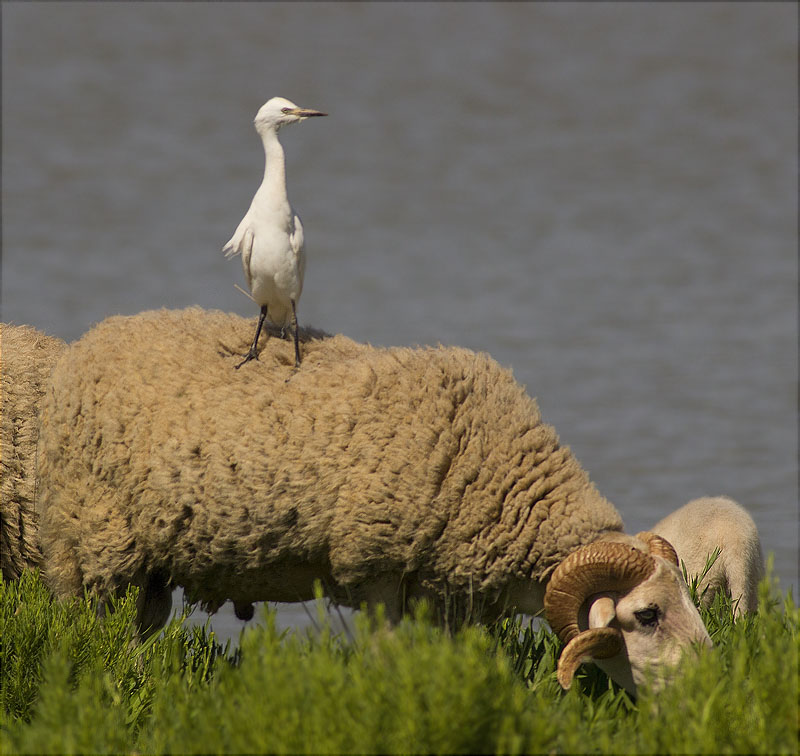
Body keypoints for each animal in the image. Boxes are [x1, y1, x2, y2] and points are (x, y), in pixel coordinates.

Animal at [36, 306, 712, 692]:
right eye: (646, 616)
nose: (711, 683)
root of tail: (90, 341)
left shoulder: (441, 593)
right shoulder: (380, 567)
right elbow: (388, 657)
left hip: (148, 556)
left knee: (140, 626)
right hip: (91, 534)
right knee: (90, 625)